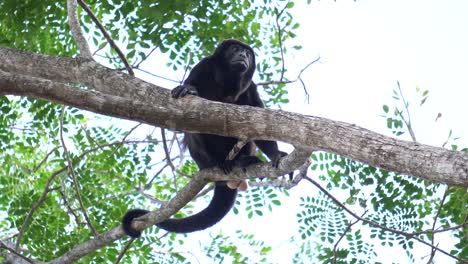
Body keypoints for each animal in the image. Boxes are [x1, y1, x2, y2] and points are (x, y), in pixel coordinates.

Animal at [120, 37, 288, 237]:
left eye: (247, 53)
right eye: (235, 49)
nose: (242, 55)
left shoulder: (251, 88)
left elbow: (259, 124)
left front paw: (276, 154)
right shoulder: (203, 66)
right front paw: (188, 89)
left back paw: (243, 160)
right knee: (194, 131)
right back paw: (220, 163)